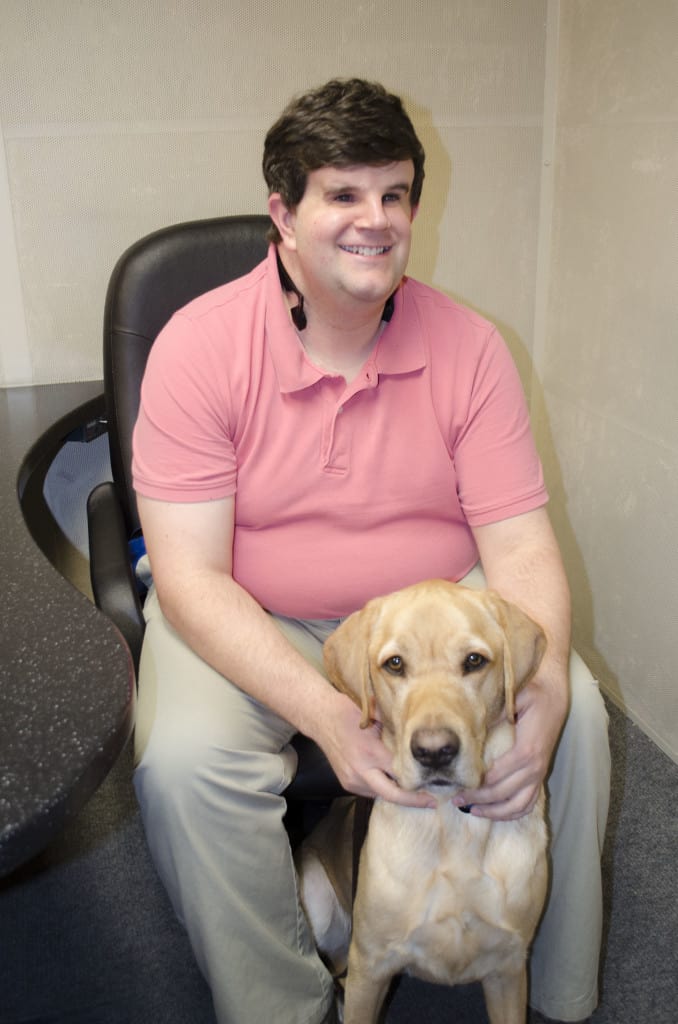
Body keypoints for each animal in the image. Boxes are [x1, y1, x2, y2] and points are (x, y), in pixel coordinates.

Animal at [299, 581, 553, 1019]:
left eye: (474, 660)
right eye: (395, 664)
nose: (434, 752)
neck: (452, 823)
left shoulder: (509, 968)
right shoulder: (370, 967)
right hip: (316, 895)